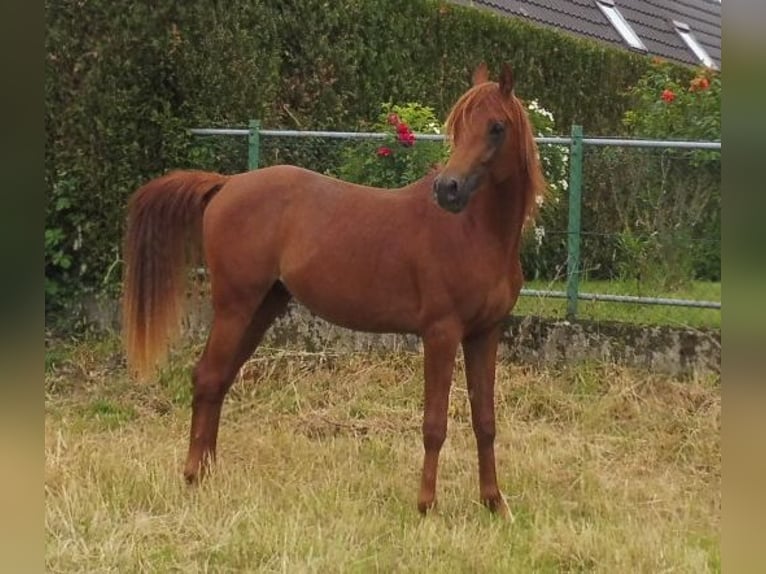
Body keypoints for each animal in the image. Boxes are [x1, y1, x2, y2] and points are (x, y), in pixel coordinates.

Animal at [122, 62, 545, 517]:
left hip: (263, 308)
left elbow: (485, 422)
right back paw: (192, 475)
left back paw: (208, 472)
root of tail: (227, 184)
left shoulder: (485, 334)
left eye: (496, 127)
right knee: (206, 378)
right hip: (235, 307)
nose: (448, 189)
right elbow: (434, 423)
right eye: (458, 126)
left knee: (219, 380)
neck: (474, 233)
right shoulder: (441, 333)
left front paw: (494, 503)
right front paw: (426, 505)